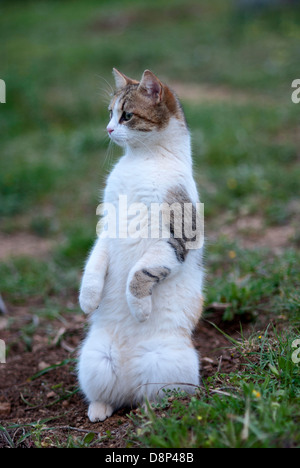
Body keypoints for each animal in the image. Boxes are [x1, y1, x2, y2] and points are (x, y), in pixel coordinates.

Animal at [77, 69, 204, 424]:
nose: (108, 129)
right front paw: (88, 301)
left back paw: (149, 411)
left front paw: (140, 310)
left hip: (168, 365)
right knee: (108, 397)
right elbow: (93, 264)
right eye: (109, 113)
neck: (141, 161)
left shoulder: (177, 239)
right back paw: (99, 409)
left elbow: (139, 274)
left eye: (127, 115)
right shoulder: (106, 229)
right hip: (94, 360)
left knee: (158, 398)